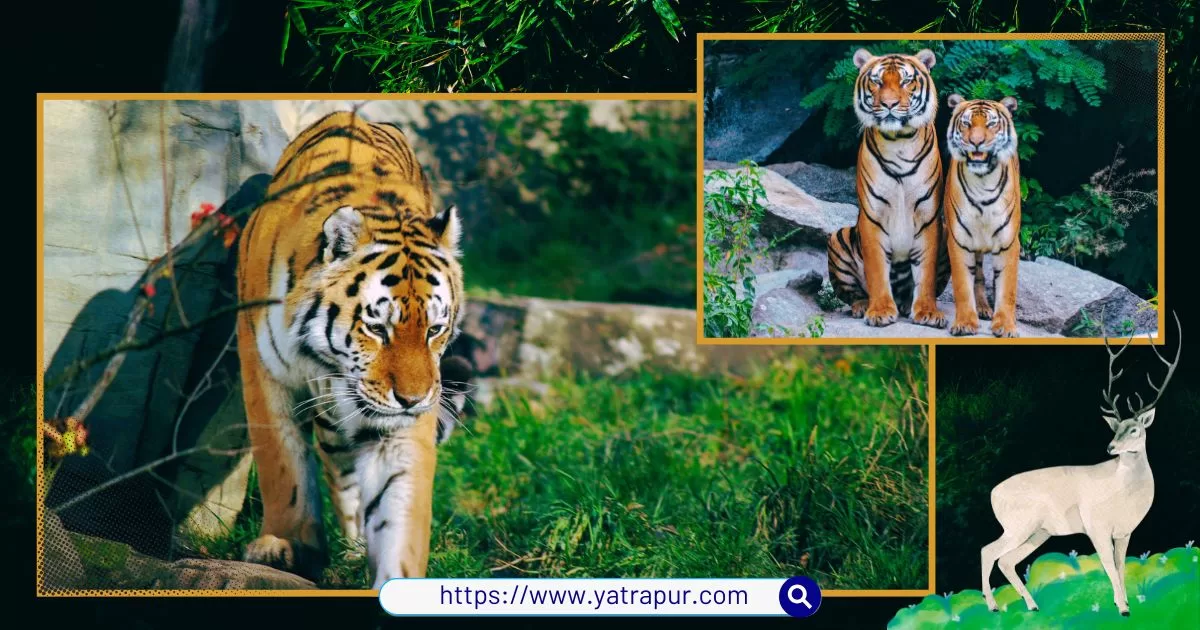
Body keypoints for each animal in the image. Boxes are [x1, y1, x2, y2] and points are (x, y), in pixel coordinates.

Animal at [235, 109, 470, 588]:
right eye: (378, 328)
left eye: (435, 330)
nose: (413, 399)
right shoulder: (263, 371)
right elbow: (282, 466)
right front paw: (284, 546)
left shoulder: (401, 424)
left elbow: (400, 505)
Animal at [826, 48, 950, 328]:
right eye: (877, 81)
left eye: (906, 81)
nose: (889, 104)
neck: (899, 141)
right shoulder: (873, 216)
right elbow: (876, 271)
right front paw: (880, 311)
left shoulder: (928, 217)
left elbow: (925, 274)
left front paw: (927, 311)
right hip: (838, 237)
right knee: (852, 293)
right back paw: (863, 306)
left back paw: (906, 304)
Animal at [943, 94, 1022, 338]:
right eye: (967, 123)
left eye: (991, 124)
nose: (976, 142)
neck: (983, 181)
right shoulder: (959, 241)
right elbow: (962, 285)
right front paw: (965, 323)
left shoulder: (1008, 243)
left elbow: (1007, 289)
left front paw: (1005, 326)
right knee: (978, 276)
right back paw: (983, 309)